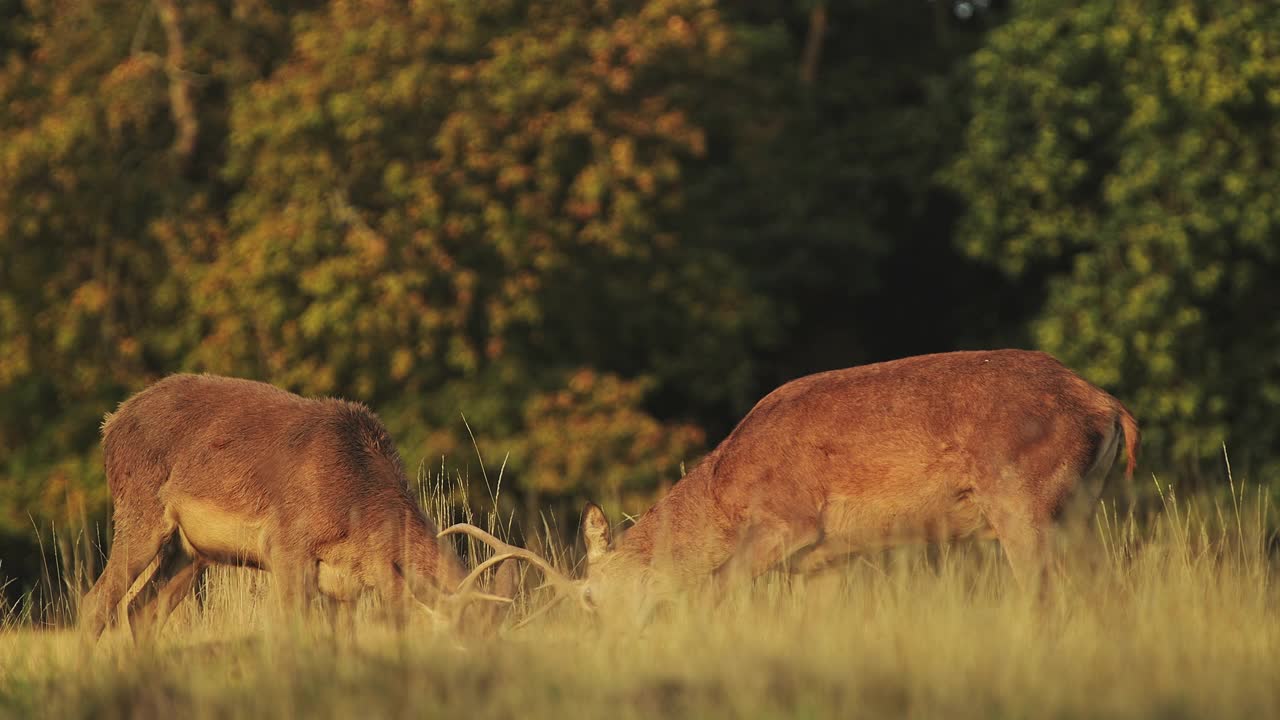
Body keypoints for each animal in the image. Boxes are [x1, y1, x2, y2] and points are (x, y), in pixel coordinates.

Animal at [77, 371, 509, 635]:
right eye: (462, 632)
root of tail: (109, 425)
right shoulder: (285, 546)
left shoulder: (344, 589)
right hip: (140, 515)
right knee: (95, 603)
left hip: (190, 551)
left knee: (141, 612)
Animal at [448, 348, 1141, 622]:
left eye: (590, 599)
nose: (607, 640)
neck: (724, 494)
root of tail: (1108, 406)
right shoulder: (822, 562)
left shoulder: (789, 522)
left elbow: (714, 591)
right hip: (1077, 508)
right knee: (1107, 590)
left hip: (1023, 500)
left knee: (1046, 595)